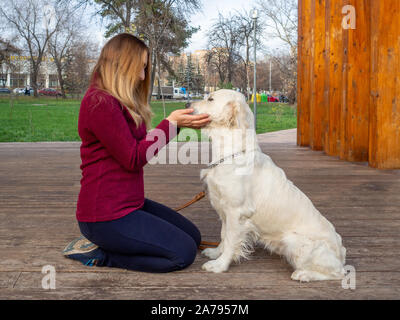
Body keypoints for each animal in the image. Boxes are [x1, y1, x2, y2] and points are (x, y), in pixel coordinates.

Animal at [189, 89, 346, 282]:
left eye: (210, 99)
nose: (187, 105)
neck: (232, 153)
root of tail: (341, 252)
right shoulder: (223, 208)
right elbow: (224, 235)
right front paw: (215, 253)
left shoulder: (236, 212)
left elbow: (231, 240)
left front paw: (220, 265)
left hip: (293, 241)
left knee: (338, 273)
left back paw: (303, 274)